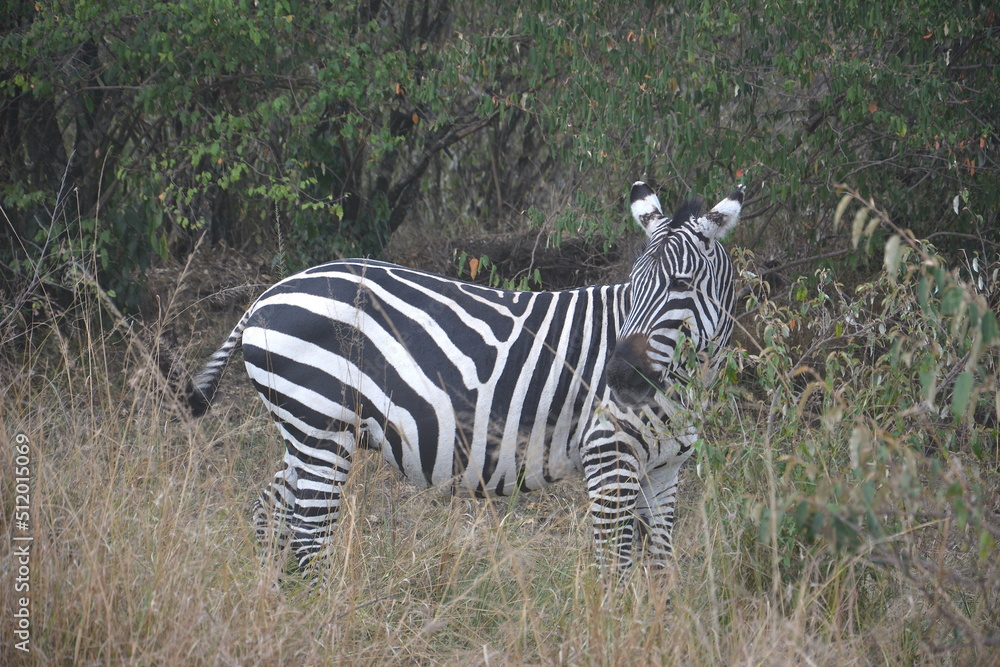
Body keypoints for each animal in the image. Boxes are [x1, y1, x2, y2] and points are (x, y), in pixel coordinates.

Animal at [186, 181, 745, 571]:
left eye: (682, 283)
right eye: (634, 284)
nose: (619, 378)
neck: (686, 386)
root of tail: (267, 294)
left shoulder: (665, 471)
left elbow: (659, 568)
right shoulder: (609, 456)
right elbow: (615, 568)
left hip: (307, 433)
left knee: (270, 515)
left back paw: (280, 604)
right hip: (322, 428)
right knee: (308, 536)